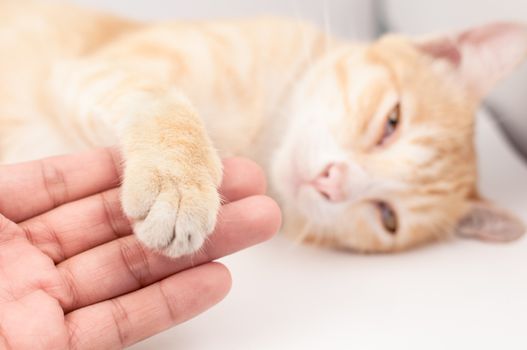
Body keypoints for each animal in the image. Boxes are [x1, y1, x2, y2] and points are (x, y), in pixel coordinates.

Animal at [1, 0, 527, 258]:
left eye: (387, 217)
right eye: (390, 124)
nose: (332, 182)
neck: (256, 138)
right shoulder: (96, 68)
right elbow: (165, 103)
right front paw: (180, 182)